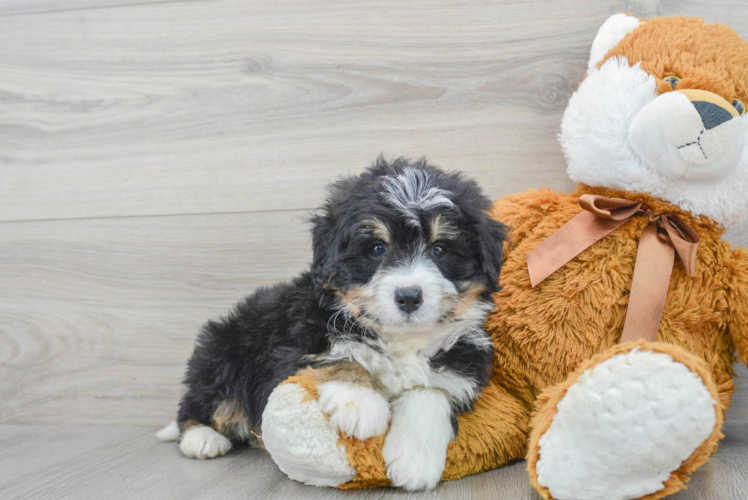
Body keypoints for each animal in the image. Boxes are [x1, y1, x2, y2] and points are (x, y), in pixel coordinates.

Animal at [158, 157, 508, 492]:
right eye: (377, 248)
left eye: (439, 249)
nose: (409, 296)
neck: (399, 337)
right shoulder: (292, 347)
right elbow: (340, 354)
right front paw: (359, 402)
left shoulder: (462, 366)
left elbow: (430, 391)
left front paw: (415, 460)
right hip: (221, 352)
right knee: (200, 402)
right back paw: (202, 438)